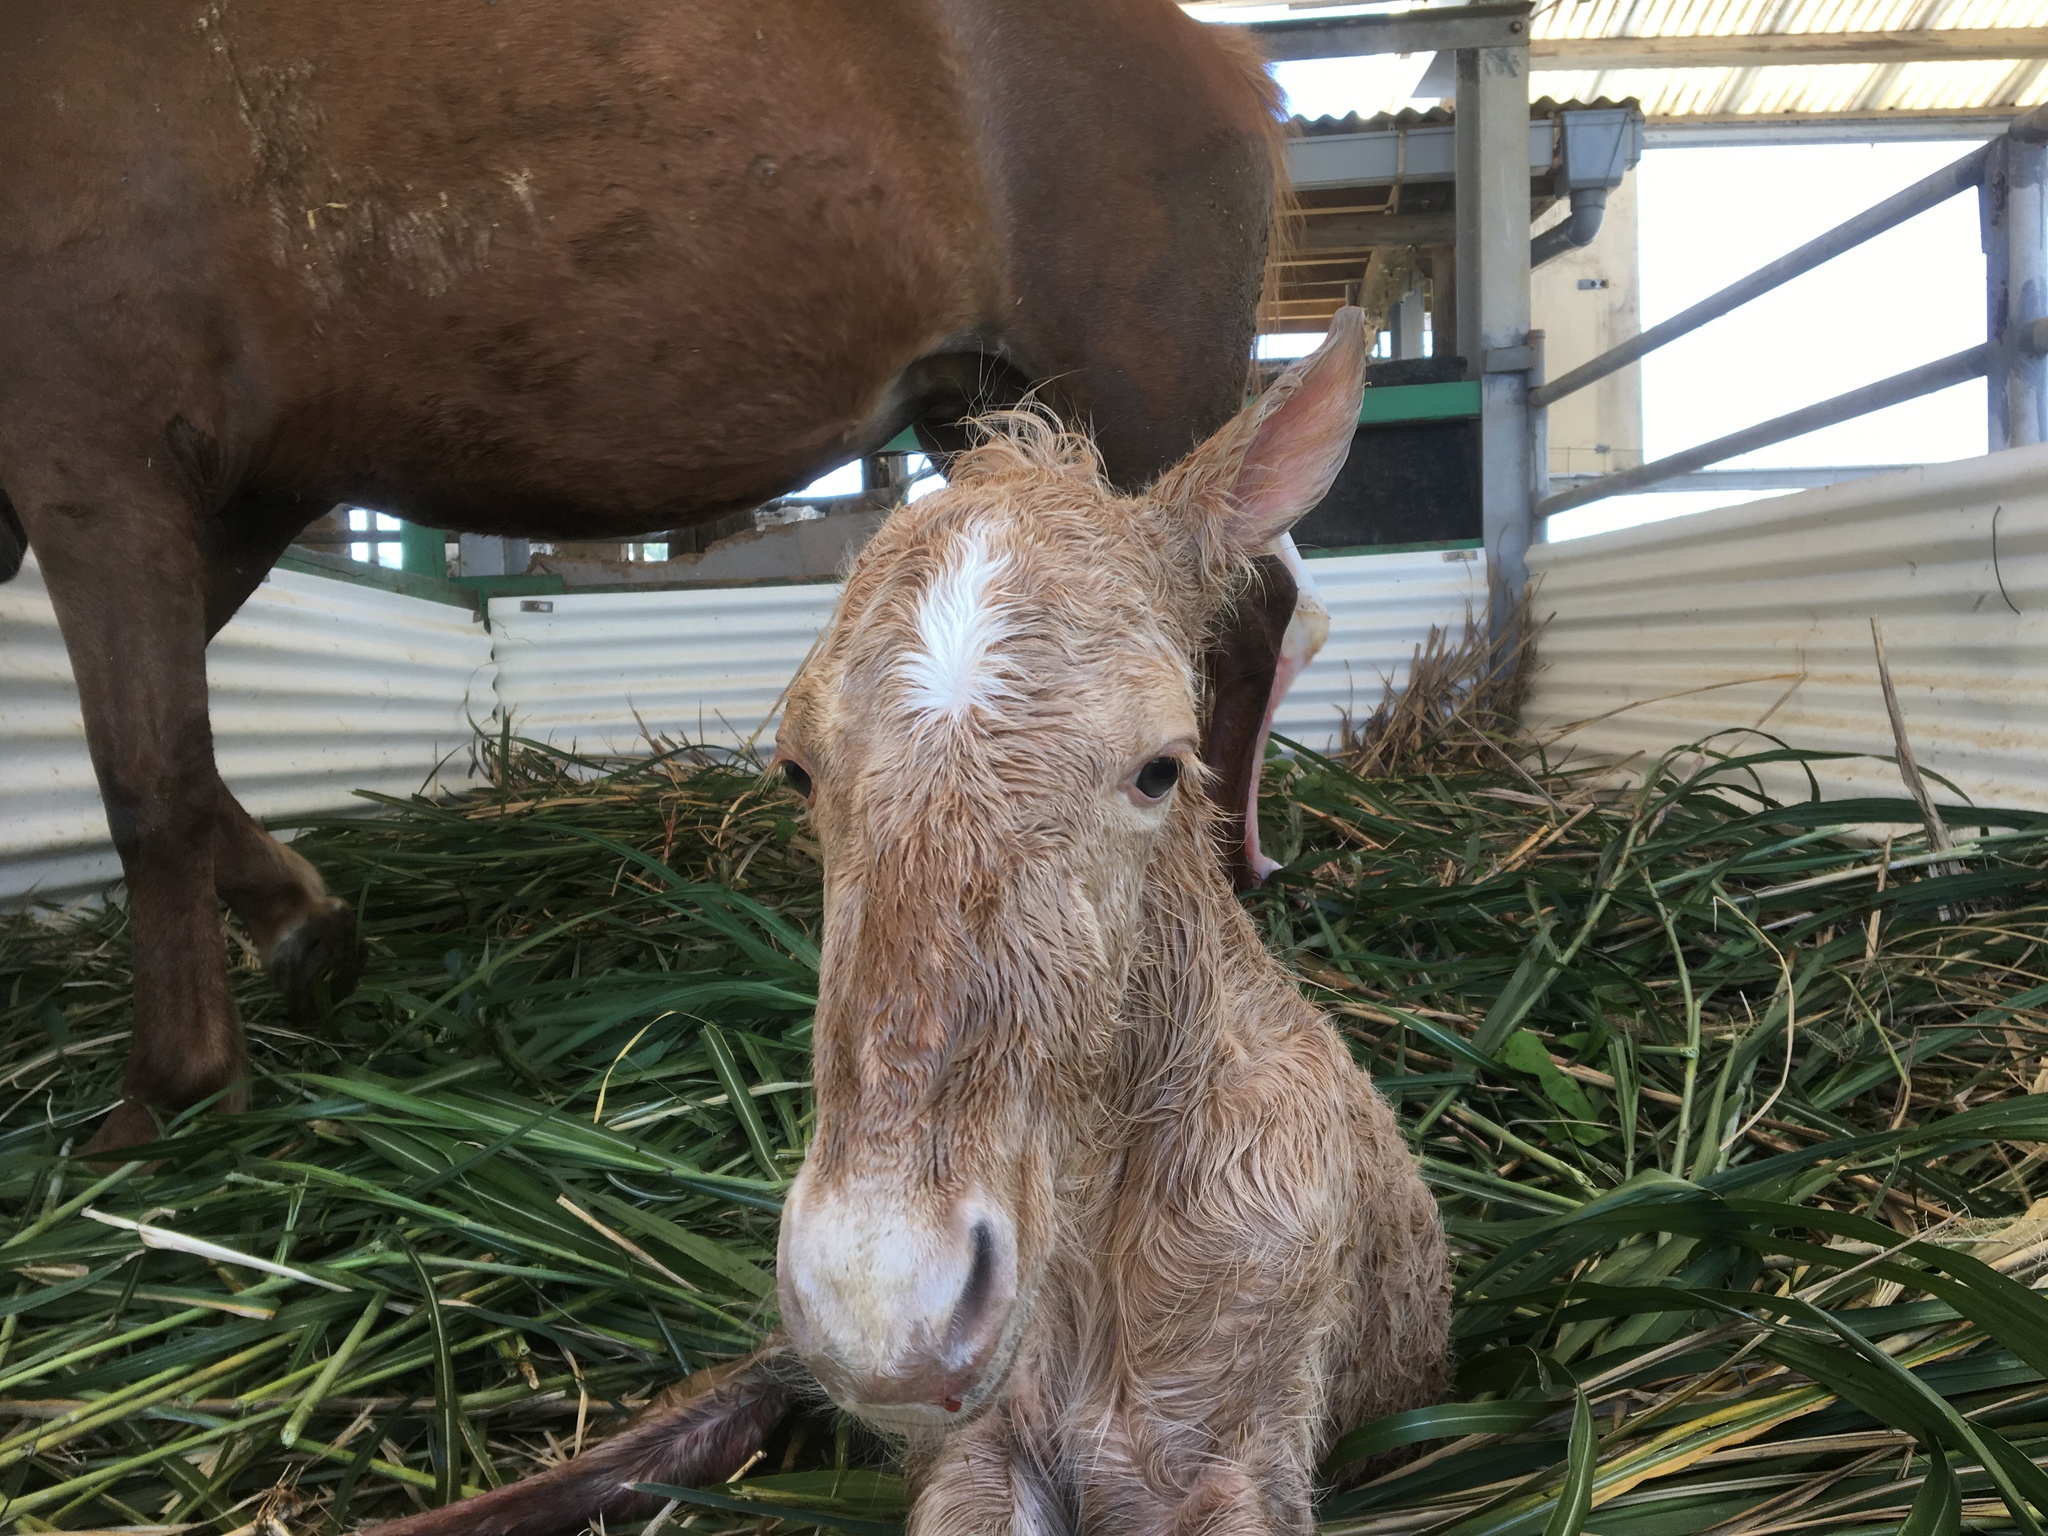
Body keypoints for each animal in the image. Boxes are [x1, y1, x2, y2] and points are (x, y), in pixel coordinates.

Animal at [0, 0, 1302, 1155]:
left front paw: (172, 1079)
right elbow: (178, 764)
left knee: (1235, 628)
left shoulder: (98, 471)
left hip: (1135, 409)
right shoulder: (236, 499)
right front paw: (298, 926)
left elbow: (148, 783)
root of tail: (1217, 52)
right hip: (1002, 418)